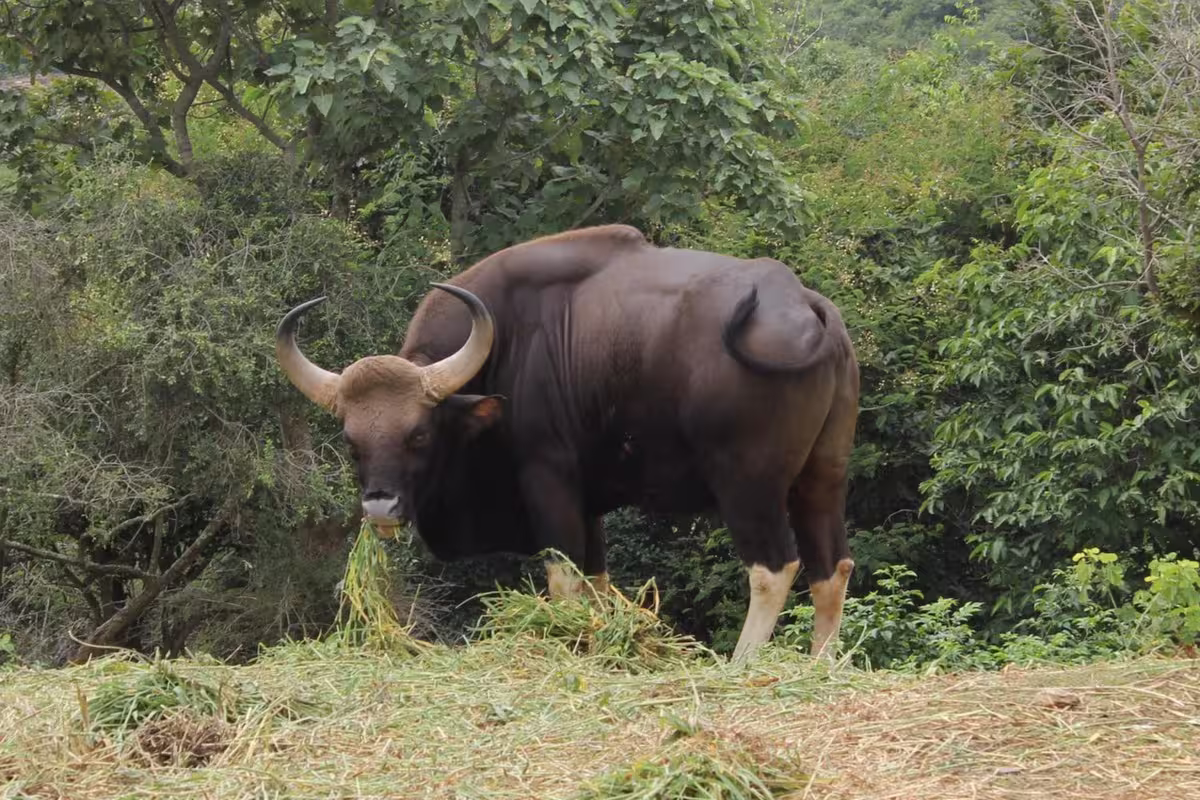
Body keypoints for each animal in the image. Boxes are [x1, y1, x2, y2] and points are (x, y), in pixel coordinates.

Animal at [276, 225, 859, 661]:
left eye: (418, 434)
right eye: (351, 441)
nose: (380, 505)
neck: (506, 346)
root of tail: (806, 306)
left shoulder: (548, 480)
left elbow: (563, 579)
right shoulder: (589, 502)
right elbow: (596, 580)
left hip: (747, 482)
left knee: (774, 567)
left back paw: (742, 663)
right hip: (824, 474)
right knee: (832, 566)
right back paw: (821, 663)